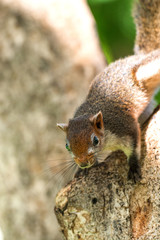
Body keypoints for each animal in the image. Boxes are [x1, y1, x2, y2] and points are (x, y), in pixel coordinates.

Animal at [57, 0, 160, 181]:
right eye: (67, 146)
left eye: (95, 140)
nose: (83, 163)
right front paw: (82, 170)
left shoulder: (125, 127)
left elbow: (134, 147)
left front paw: (133, 166)